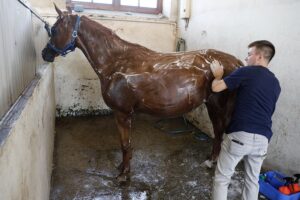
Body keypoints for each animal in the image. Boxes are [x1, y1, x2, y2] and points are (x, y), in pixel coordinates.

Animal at [42, 5, 244, 183]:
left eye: (54, 29)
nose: (45, 54)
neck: (116, 63)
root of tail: (236, 63)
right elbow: (126, 145)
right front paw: (122, 168)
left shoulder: (122, 113)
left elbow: (125, 144)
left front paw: (123, 174)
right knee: (219, 133)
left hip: (217, 106)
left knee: (219, 132)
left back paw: (211, 161)